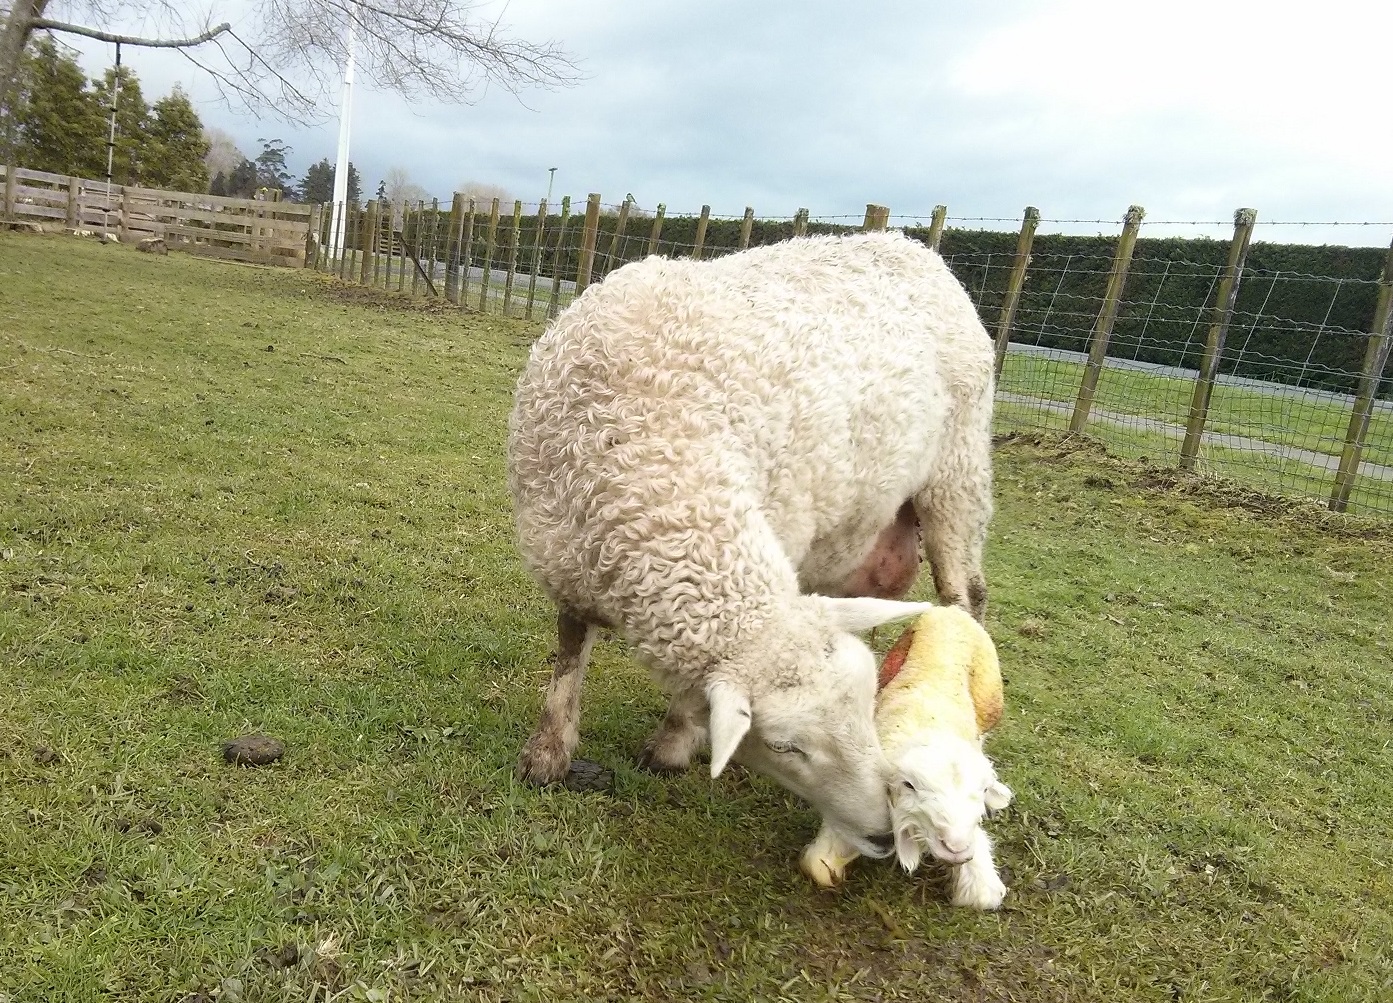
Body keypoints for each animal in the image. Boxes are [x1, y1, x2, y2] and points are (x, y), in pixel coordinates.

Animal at [506, 231, 996, 851]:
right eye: (786, 746)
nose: (886, 831)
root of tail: (913, 246)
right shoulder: (567, 562)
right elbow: (569, 655)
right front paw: (547, 755)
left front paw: (672, 745)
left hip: (958, 472)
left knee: (965, 597)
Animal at [799, 605, 1013, 909]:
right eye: (909, 785)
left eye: (982, 790)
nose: (956, 849)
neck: (930, 728)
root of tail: (952, 611)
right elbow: (818, 865)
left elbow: (984, 894)